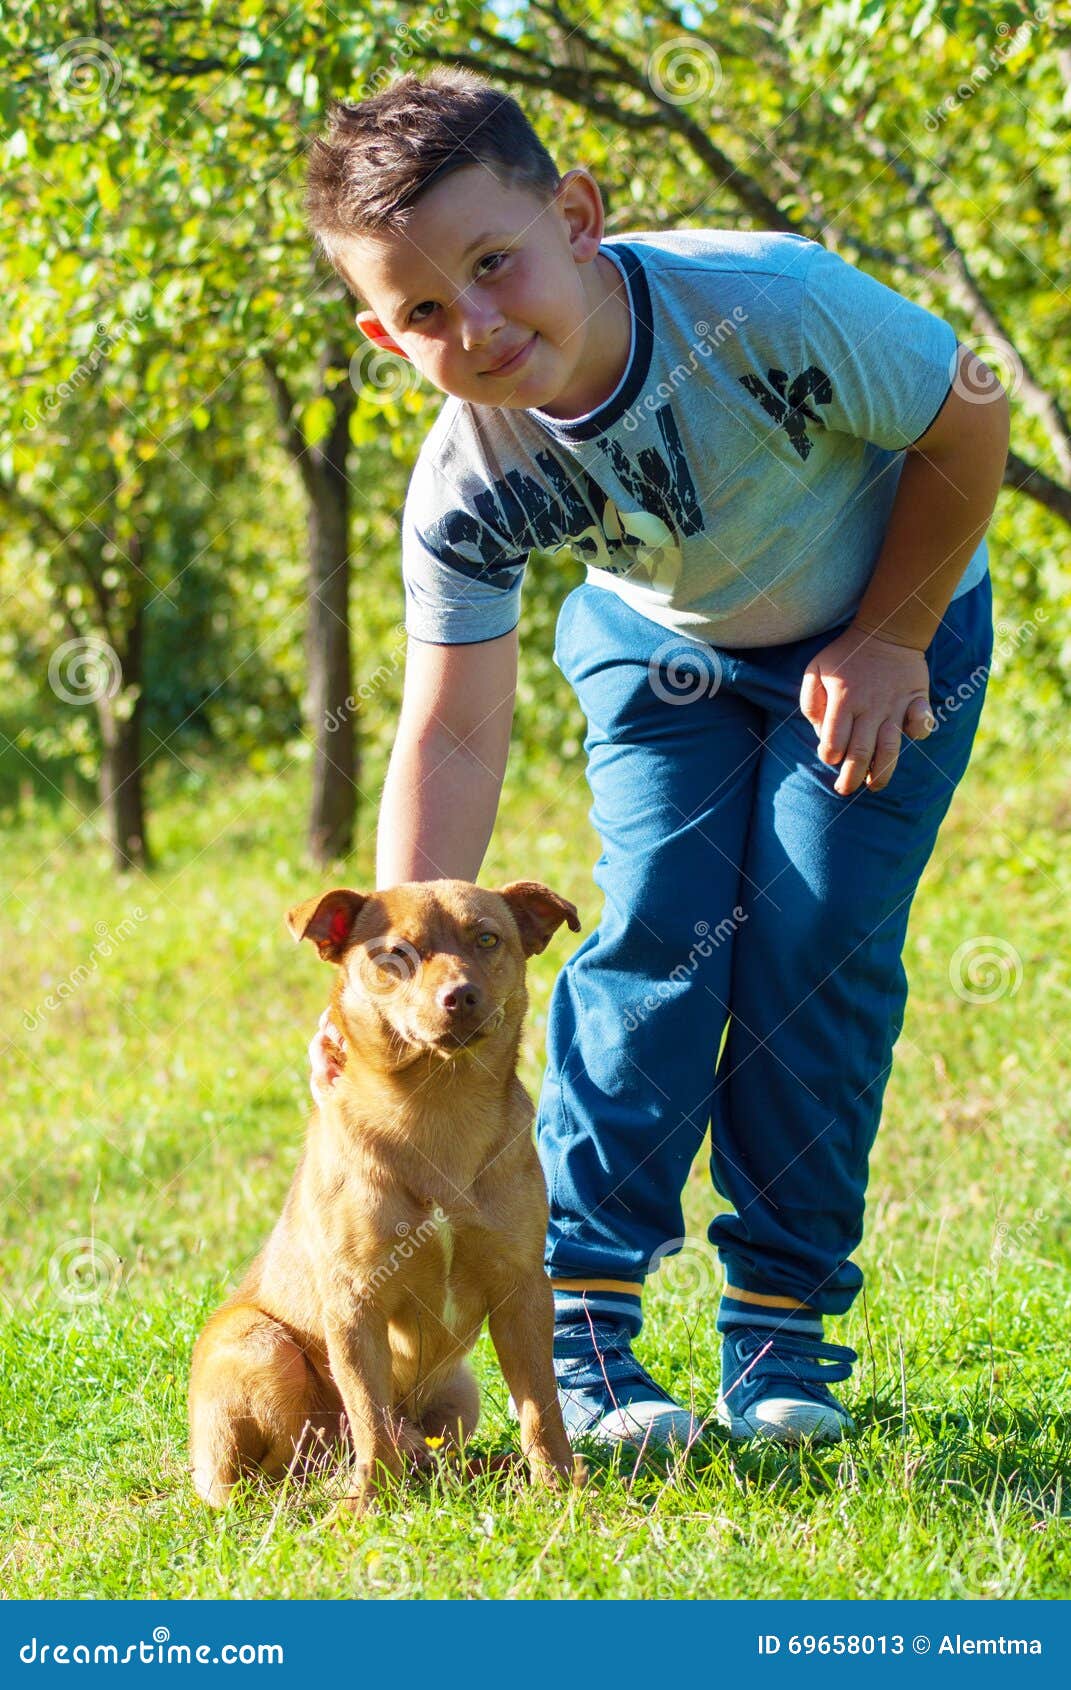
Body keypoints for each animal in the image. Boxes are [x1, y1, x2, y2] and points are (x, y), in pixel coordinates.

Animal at [187, 878, 581, 1514]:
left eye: (487, 938)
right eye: (395, 955)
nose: (460, 995)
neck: (439, 1106)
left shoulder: (522, 1291)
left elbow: (540, 1407)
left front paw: (560, 1486)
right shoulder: (355, 1302)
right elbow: (369, 1415)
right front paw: (371, 1504)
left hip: (460, 1393)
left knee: (427, 1449)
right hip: (260, 1349)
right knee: (278, 1474)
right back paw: (333, 1489)